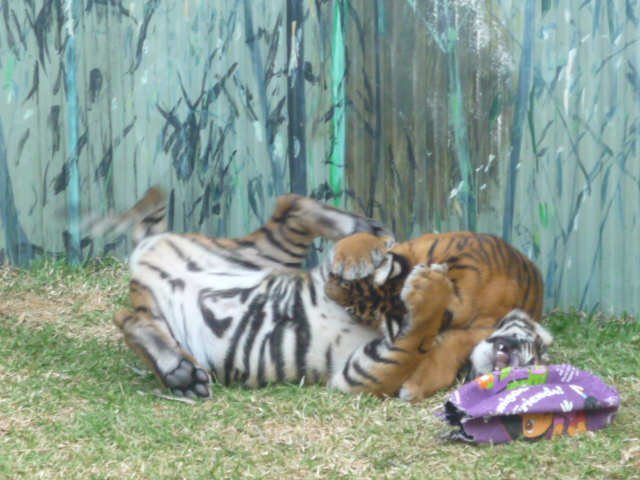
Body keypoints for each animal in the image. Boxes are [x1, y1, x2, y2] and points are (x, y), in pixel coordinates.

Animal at [106, 187, 459, 400]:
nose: (334, 288)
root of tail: (145, 249)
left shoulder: (360, 372)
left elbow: (417, 337)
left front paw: (431, 286)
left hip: (243, 263)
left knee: (126, 319)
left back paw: (180, 373)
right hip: (257, 256)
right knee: (291, 204)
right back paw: (364, 228)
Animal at [324, 232, 553, 402]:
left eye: (351, 310)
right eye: (344, 282)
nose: (327, 286)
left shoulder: (482, 328)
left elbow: (450, 346)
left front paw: (414, 386)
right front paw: (352, 259)